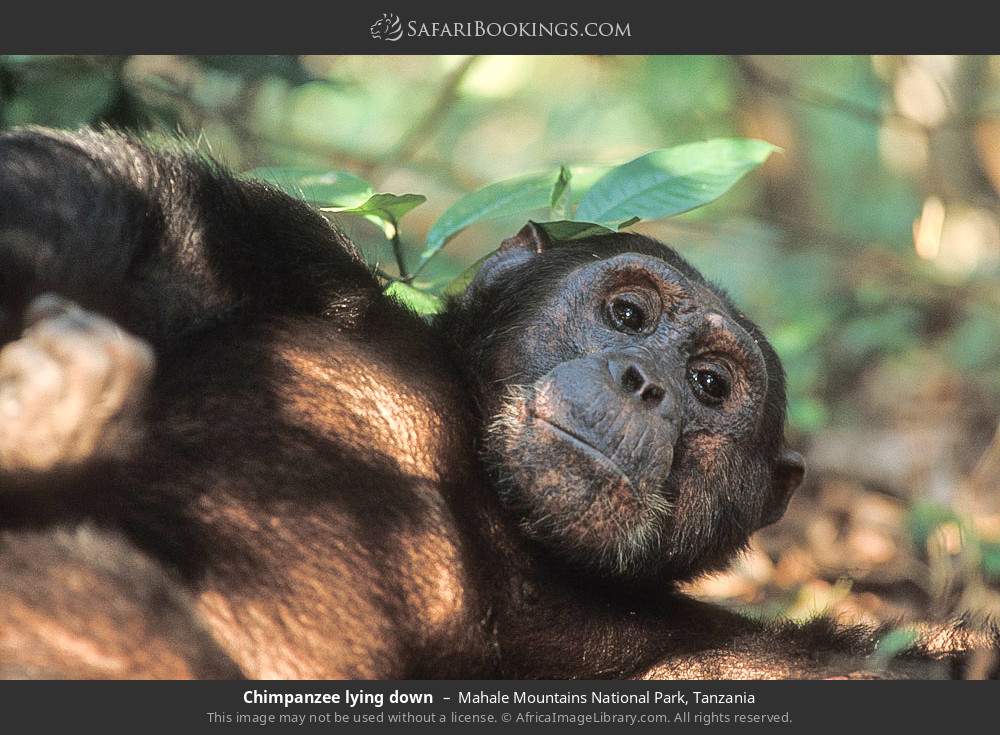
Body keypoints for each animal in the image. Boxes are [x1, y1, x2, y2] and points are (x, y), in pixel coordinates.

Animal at [0, 128, 990, 680]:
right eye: (627, 313)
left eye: (712, 385)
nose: (647, 381)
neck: (505, 514)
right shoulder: (287, 257)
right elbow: (125, 210)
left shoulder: (751, 655)